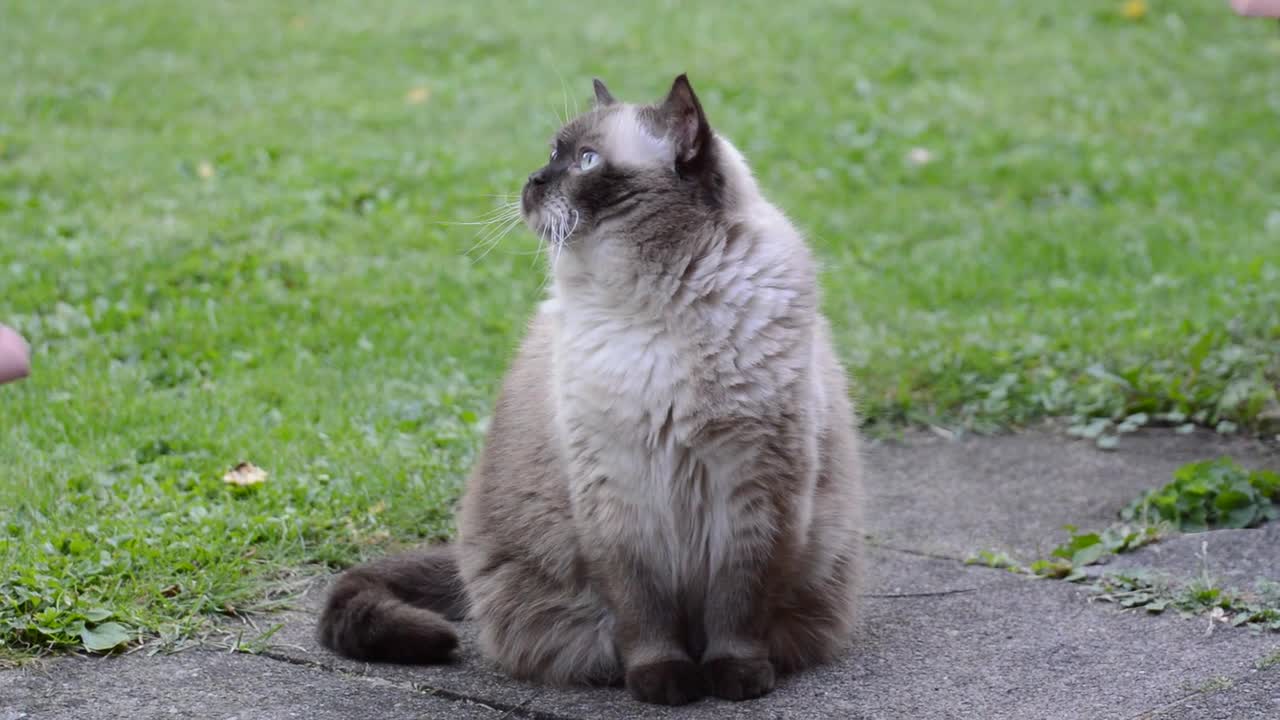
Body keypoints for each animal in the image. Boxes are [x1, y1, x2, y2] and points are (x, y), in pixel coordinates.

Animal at [314, 75, 865, 702]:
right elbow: (643, 613)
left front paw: (736, 680)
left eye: (586, 161)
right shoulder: (617, 492)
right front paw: (663, 685)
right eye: (552, 153)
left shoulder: (754, 489)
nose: (531, 180)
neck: (658, 309)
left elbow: (738, 605)